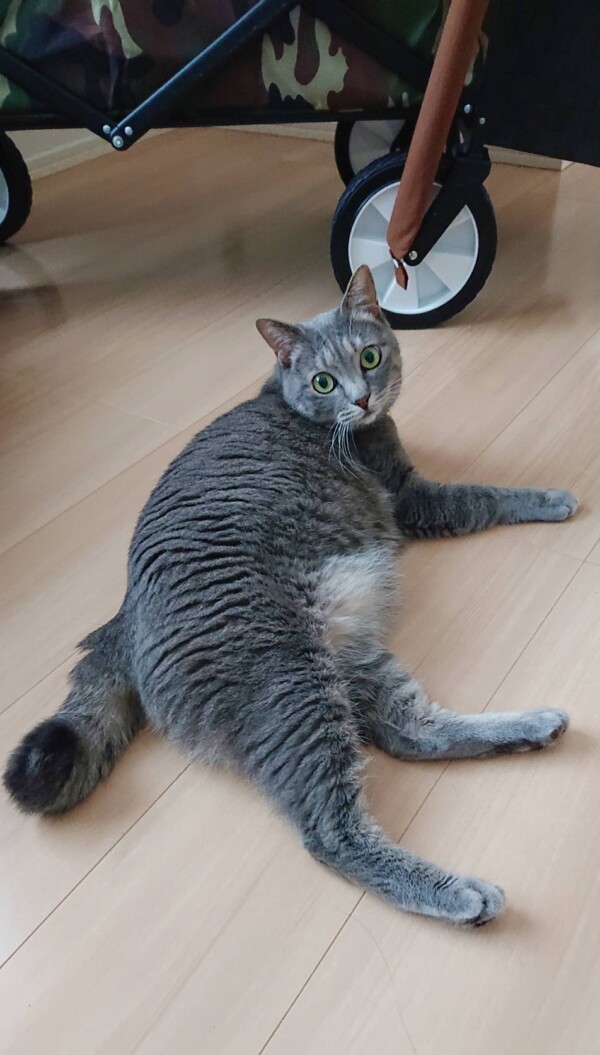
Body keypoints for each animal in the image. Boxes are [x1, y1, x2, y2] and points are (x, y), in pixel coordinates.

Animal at [4, 266, 577, 927]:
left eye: (370, 356)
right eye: (323, 381)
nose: (362, 398)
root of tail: (121, 622)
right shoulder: (412, 498)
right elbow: (486, 495)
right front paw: (556, 497)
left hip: (348, 659)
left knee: (413, 732)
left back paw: (533, 727)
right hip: (291, 681)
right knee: (331, 831)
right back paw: (461, 893)